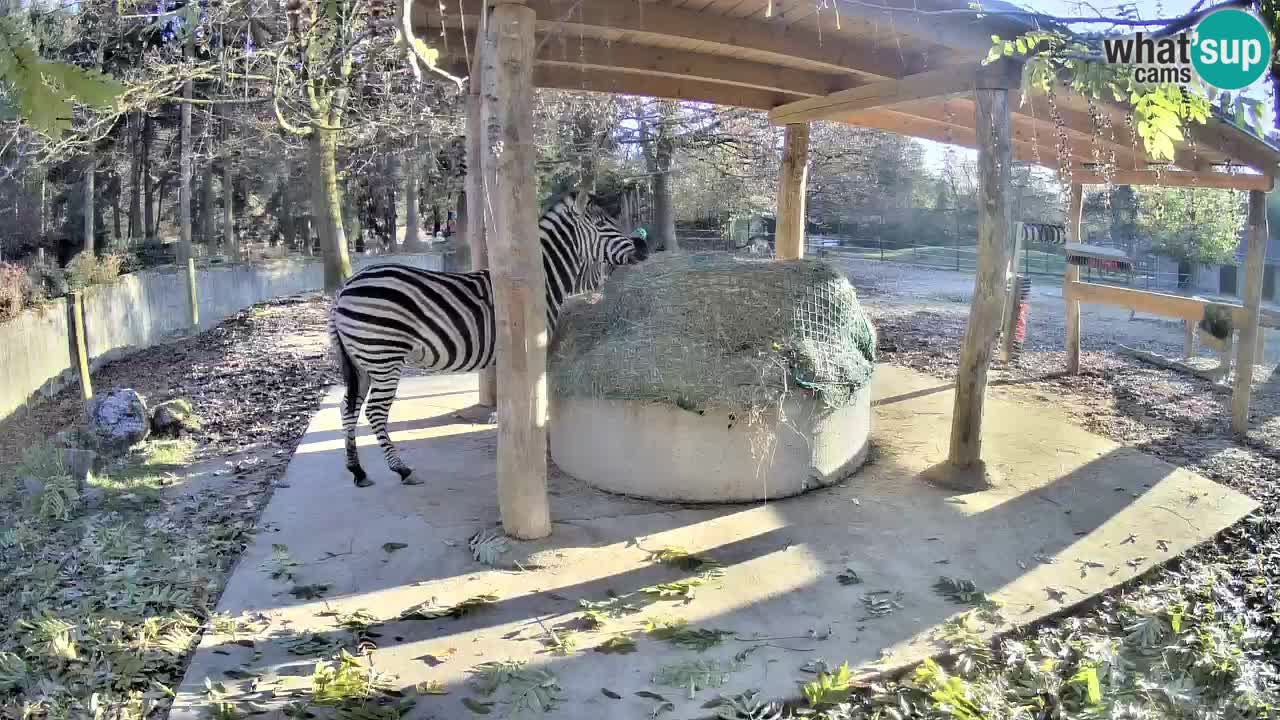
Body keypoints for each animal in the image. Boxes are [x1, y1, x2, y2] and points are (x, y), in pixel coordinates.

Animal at [330, 188, 650, 484]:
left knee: (349, 408)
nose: (645, 247)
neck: (540, 283)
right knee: (374, 412)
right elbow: (534, 395)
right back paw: (402, 469)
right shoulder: (533, 346)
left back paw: (357, 471)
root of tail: (345, 288)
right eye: (603, 223)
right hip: (383, 355)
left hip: (362, 362)